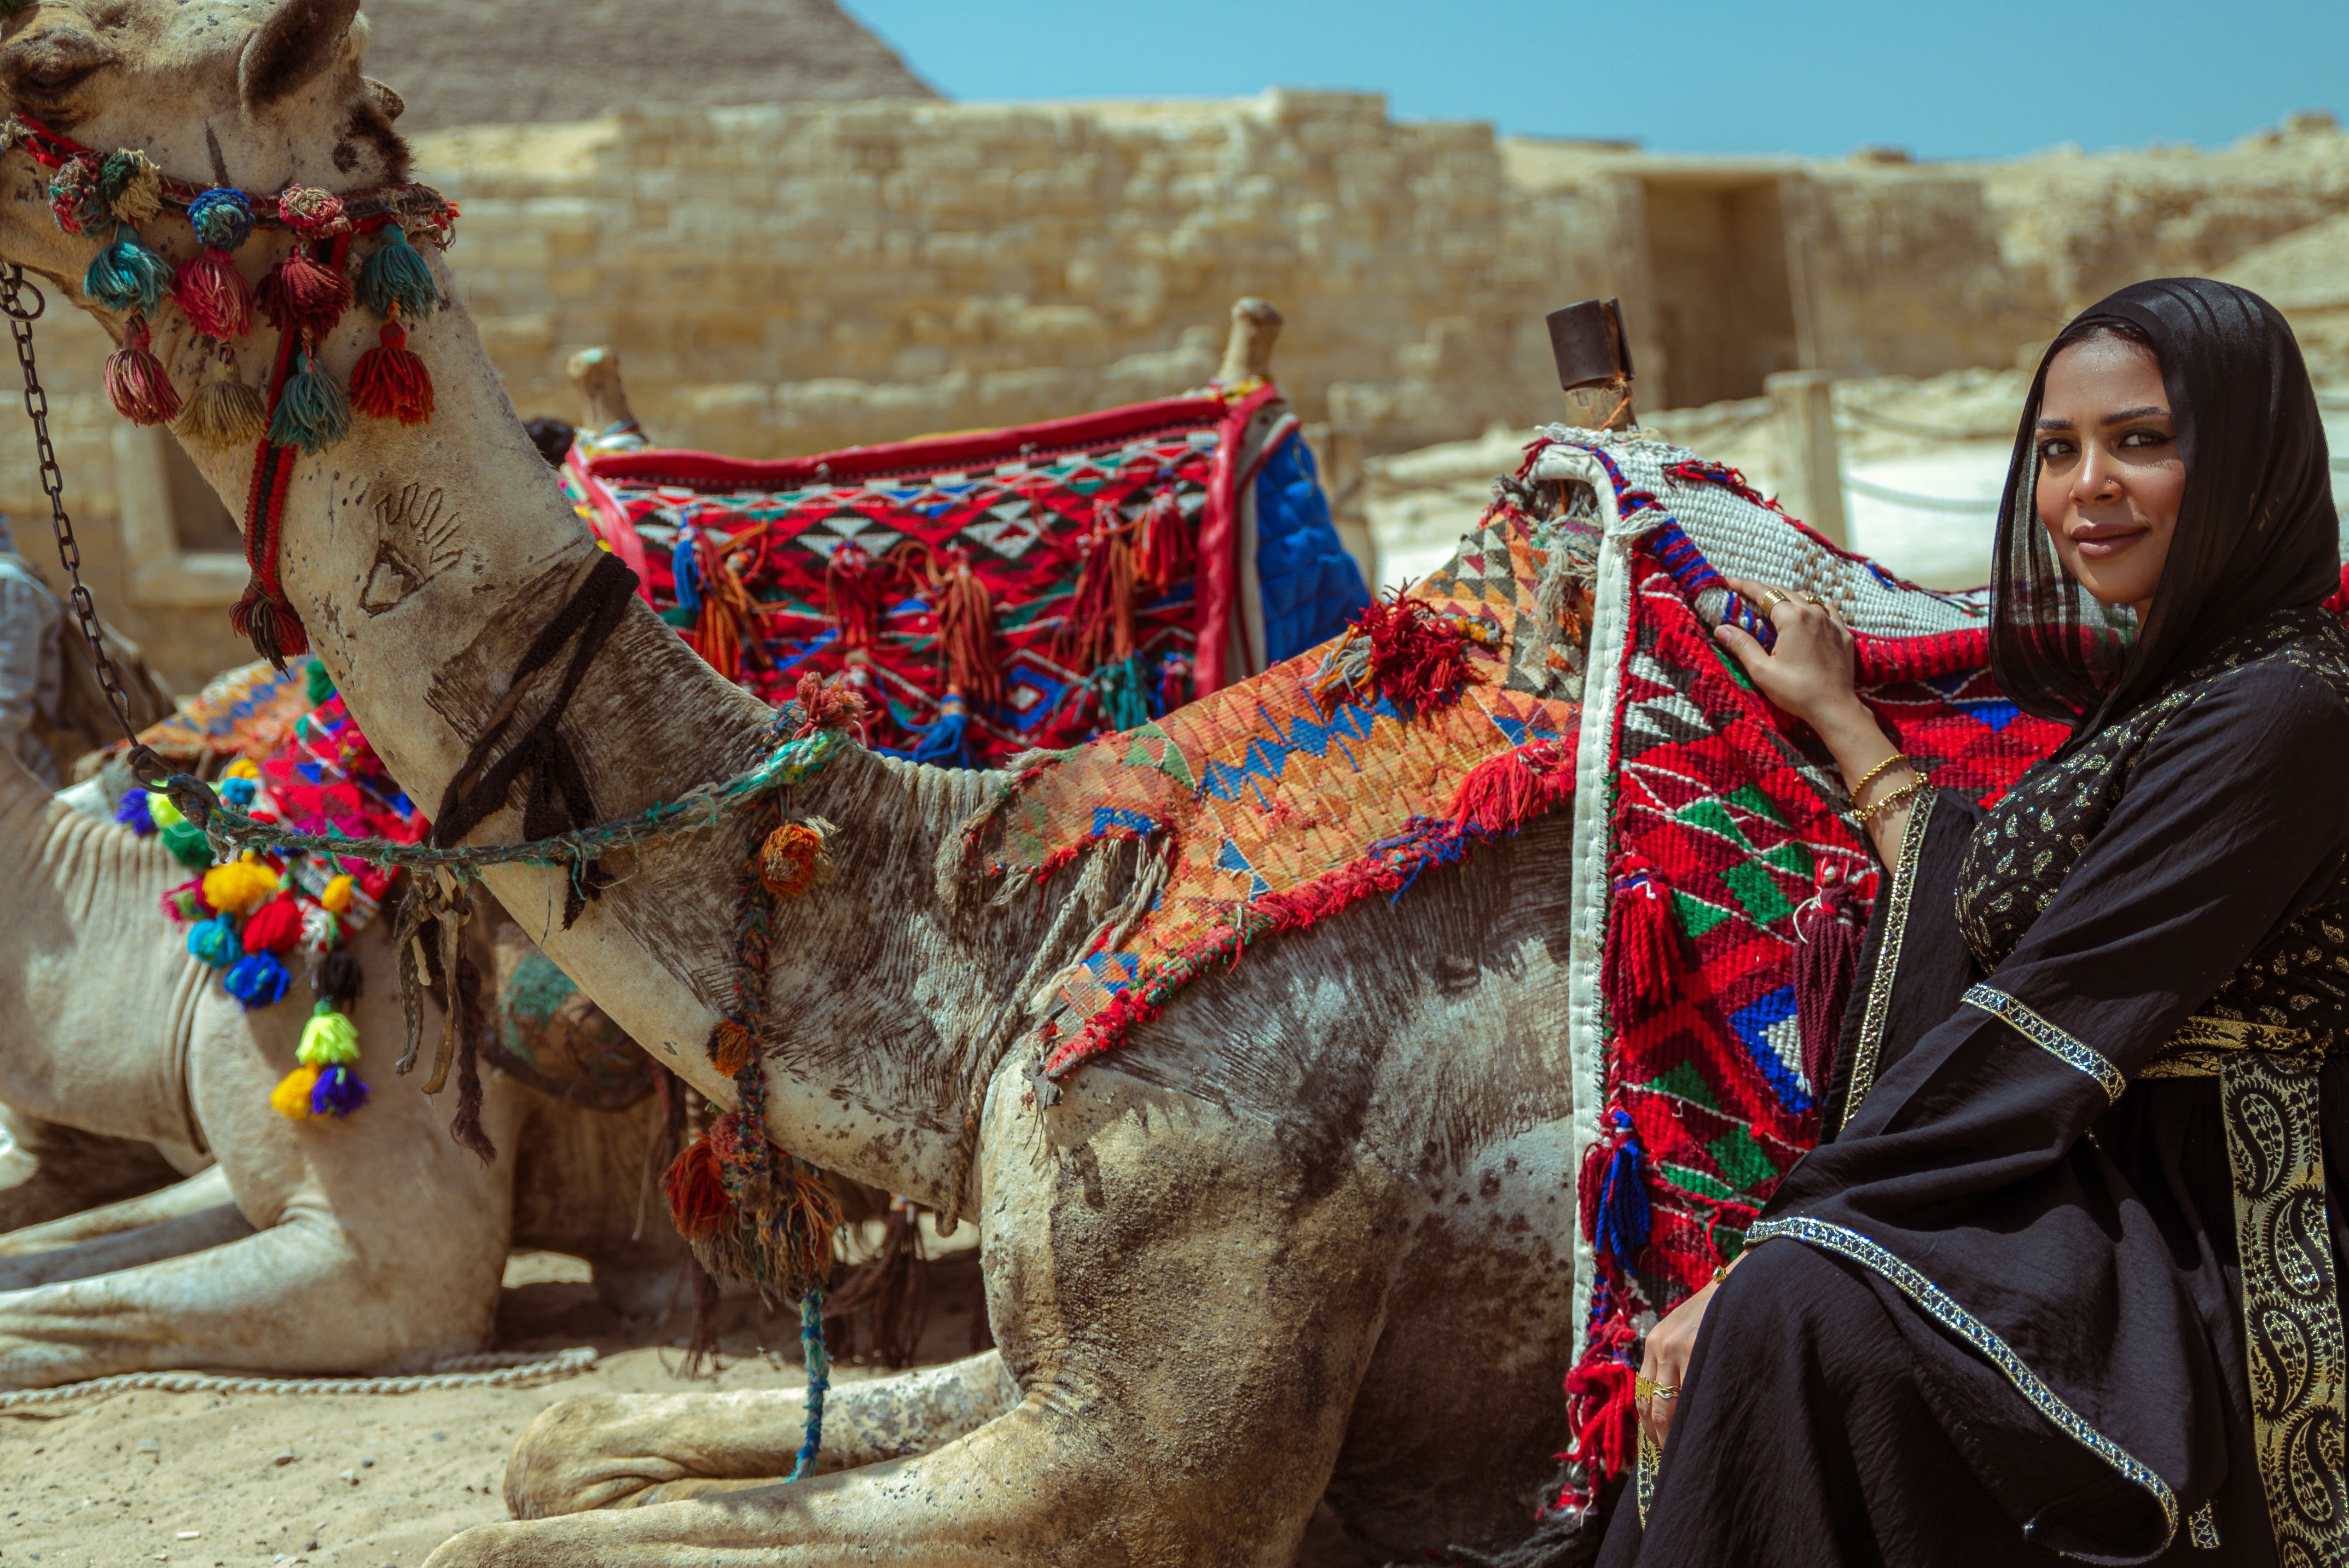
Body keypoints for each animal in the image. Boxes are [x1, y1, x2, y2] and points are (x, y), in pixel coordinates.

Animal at [0, 7, 1580, 1564]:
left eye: (50, 63)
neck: (1023, 929)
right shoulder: (1036, 1356)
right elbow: (558, 1440)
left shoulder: (1143, 1439)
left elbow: (479, 1530)